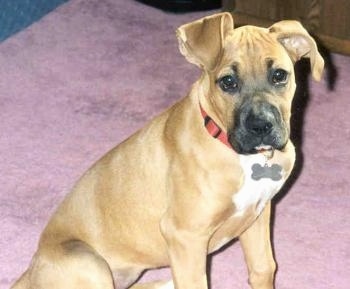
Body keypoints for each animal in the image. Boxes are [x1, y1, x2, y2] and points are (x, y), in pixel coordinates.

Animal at [12, 12, 324, 288]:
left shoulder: (257, 217)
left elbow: (263, 269)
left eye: (280, 75)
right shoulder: (185, 237)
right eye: (228, 82)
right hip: (90, 264)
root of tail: (30, 272)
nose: (261, 126)